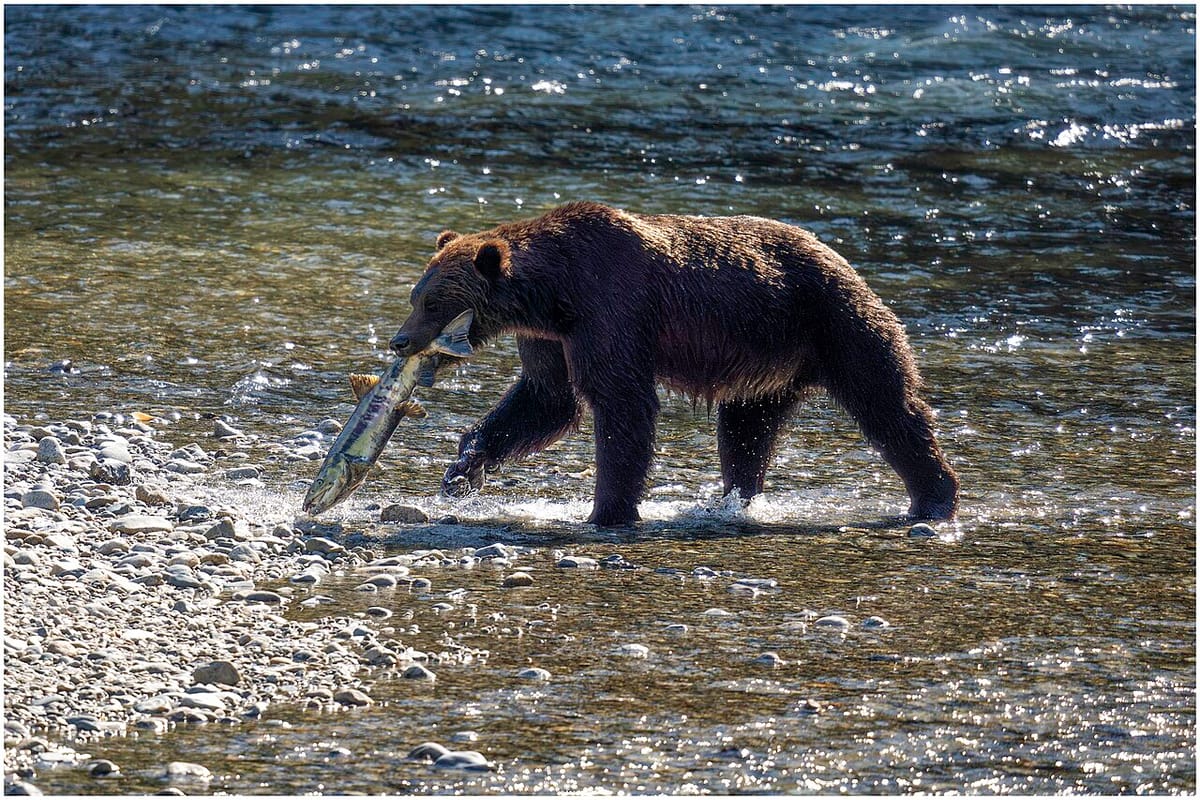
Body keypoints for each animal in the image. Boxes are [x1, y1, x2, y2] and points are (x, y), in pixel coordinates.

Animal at [389, 201, 959, 527]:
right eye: (417, 296)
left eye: (433, 304)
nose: (399, 340)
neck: (554, 294)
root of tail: (838, 254)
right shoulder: (549, 337)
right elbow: (545, 399)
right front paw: (463, 469)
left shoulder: (612, 309)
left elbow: (621, 403)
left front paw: (607, 510)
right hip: (764, 359)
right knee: (746, 429)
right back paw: (731, 500)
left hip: (833, 319)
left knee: (886, 403)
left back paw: (934, 497)